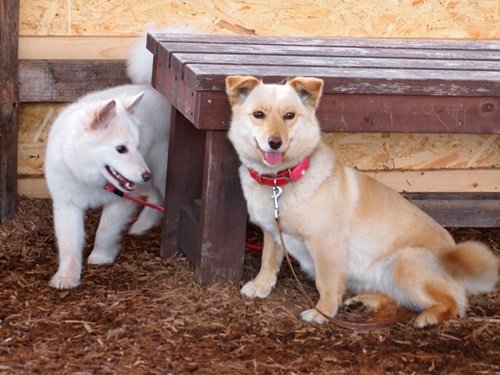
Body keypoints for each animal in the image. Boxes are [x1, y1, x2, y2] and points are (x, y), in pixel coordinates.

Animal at [46, 25, 195, 290]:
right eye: (121, 149)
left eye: (136, 146)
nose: (144, 174)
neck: (88, 175)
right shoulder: (67, 205)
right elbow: (69, 246)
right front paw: (66, 277)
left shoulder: (122, 200)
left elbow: (104, 231)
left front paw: (101, 256)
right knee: (156, 197)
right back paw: (142, 225)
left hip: (161, 169)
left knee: (162, 197)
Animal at [228, 75, 500, 328]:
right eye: (259, 114)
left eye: (289, 116)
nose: (275, 142)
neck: (280, 181)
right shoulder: (273, 232)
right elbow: (268, 260)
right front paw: (261, 286)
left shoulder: (327, 244)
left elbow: (326, 283)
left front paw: (322, 312)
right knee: (395, 299)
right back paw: (365, 301)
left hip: (404, 262)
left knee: (455, 303)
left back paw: (429, 317)